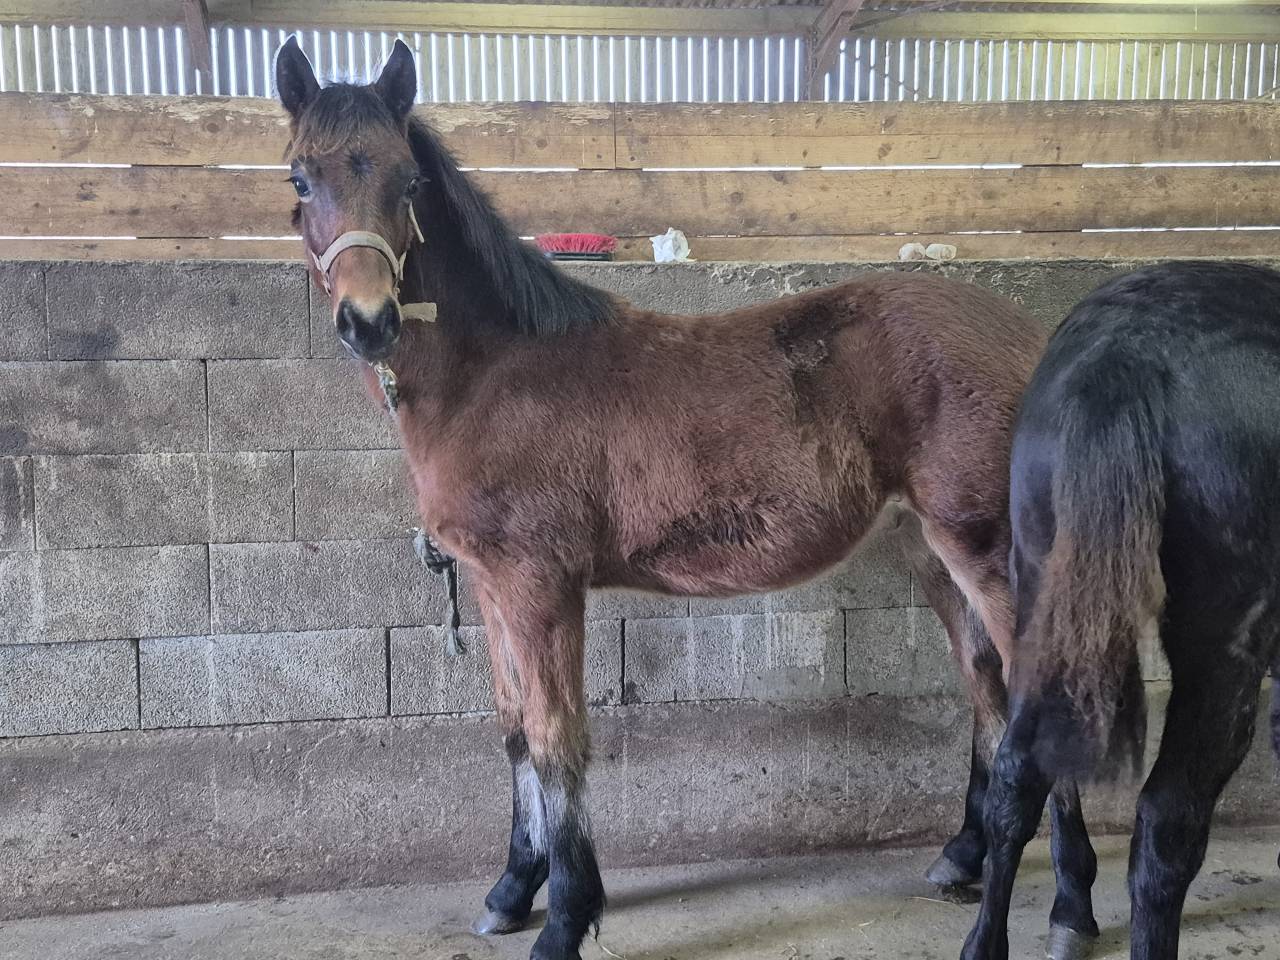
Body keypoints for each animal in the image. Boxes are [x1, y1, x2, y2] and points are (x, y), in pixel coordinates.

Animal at [274, 37, 1097, 960]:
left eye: (409, 180)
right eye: (300, 177)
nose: (369, 321)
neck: (496, 372)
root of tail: (1030, 335)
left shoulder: (538, 584)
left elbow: (558, 742)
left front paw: (565, 917)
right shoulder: (490, 585)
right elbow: (516, 732)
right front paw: (513, 888)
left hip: (988, 555)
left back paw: (1070, 909)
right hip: (931, 553)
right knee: (986, 694)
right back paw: (964, 859)